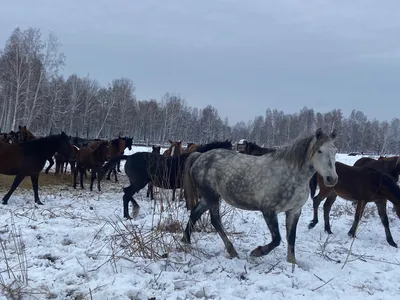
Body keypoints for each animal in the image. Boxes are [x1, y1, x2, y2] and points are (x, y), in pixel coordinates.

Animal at [98, 139, 233, 219]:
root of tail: (129, 157)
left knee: (126, 193)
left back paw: (130, 212)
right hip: (139, 182)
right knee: (126, 194)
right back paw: (130, 214)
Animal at [181, 127, 338, 264]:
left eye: (335, 150)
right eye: (319, 150)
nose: (332, 179)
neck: (291, 175)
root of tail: (200, 156)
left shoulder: (294, 211)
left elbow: (291, 238)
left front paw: (292, 262)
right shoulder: (268, 211)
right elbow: (277, 239)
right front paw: (257, 252)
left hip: (209, 197)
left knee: (195, 213)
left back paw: (186, 241)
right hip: (211, 197)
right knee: (215, 220)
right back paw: (232, 251)